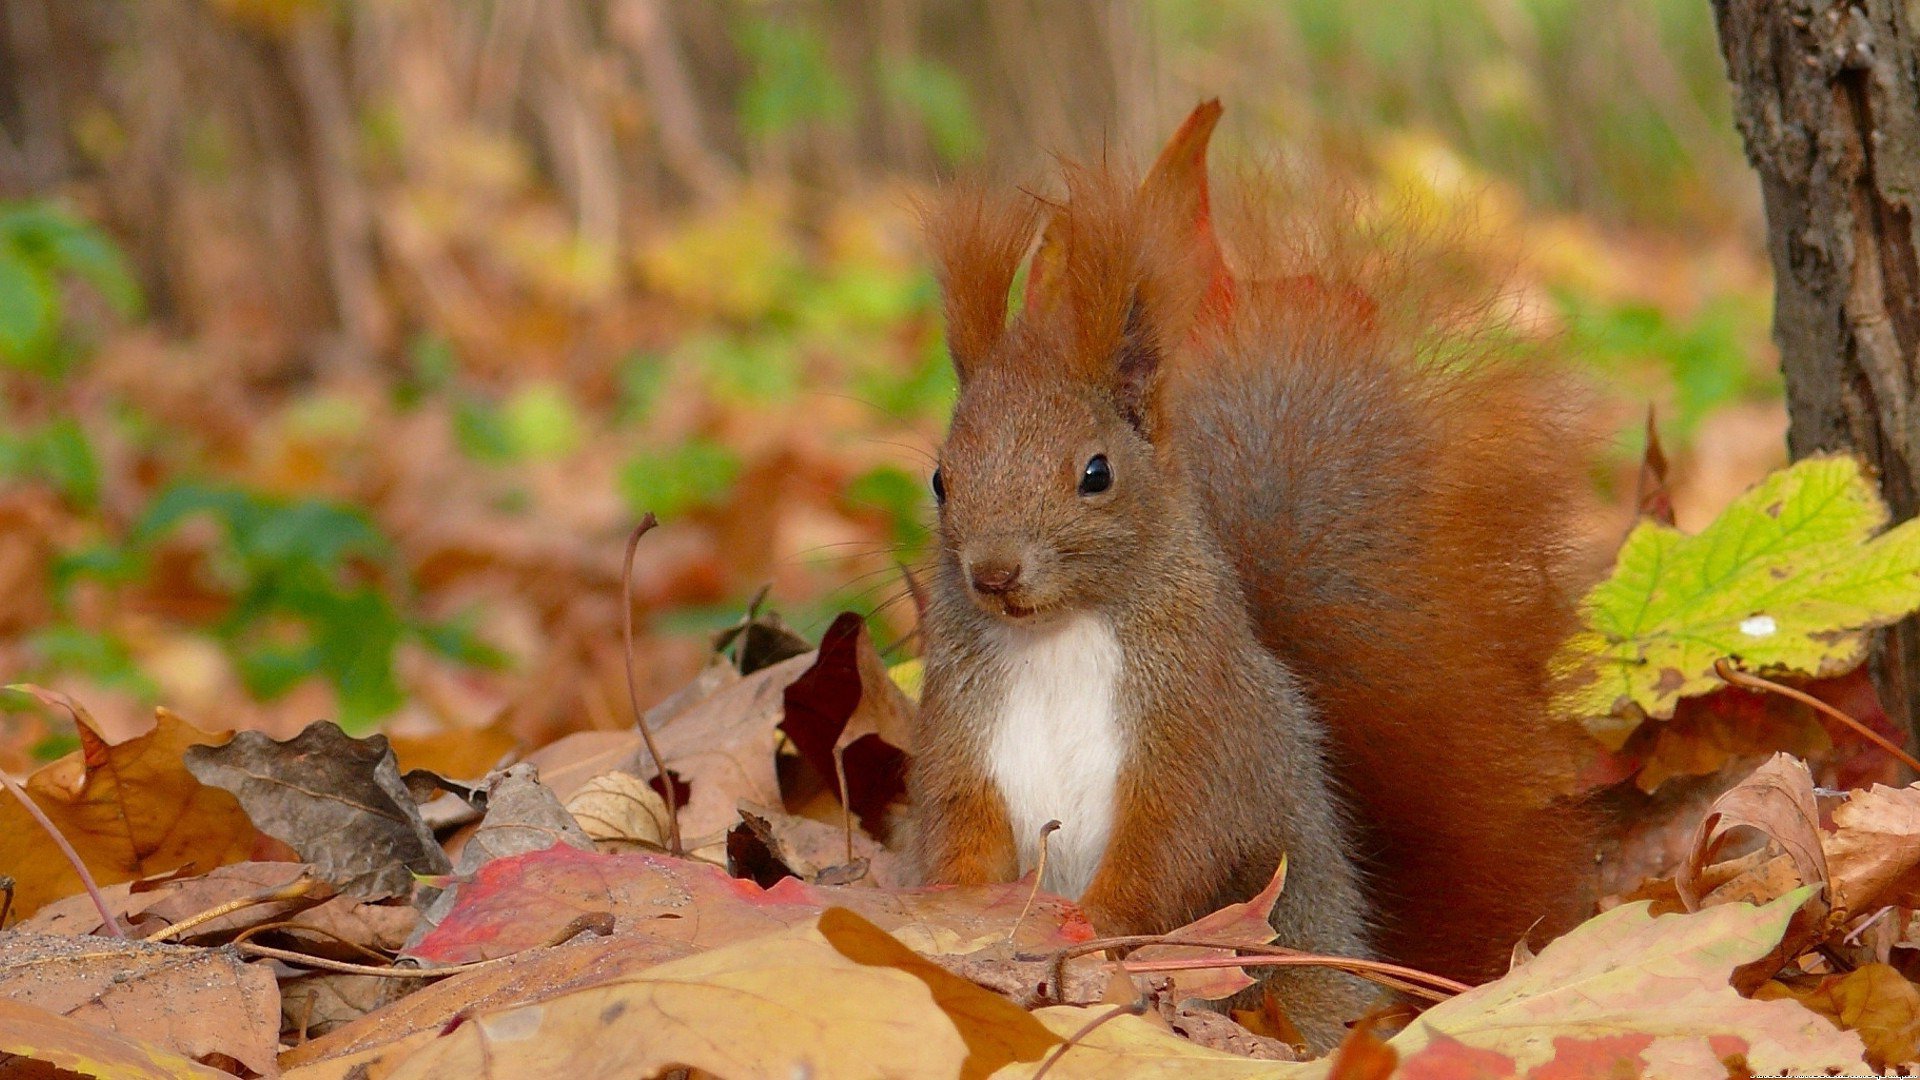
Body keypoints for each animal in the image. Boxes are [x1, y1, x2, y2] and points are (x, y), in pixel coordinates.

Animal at [905, 100, 1601, 1049]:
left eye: (1095, 473)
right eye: (942, 479)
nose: (994, 573)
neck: (1055, 635)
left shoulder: (1198, 731)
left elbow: (1171, 848)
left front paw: (1089, 927)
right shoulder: (962, 732)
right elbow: (959, 833)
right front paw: (955, 917)